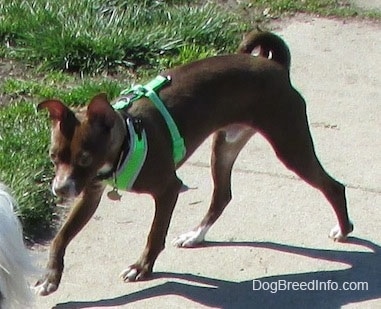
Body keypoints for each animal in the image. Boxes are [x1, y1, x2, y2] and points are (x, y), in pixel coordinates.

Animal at [34, 30, 352, 294]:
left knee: (333, 186)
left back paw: (344, 229)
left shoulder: (167, 190)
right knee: (222, 196)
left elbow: (154, 234)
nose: (59, 190)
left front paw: (142, 267)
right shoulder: (89, 194)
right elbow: (61, 237)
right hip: (224, 147)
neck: (127, 140)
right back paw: (196, 235)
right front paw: (51, 277)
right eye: (53, 157)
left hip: (290, 145)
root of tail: (277, 68)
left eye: (85, 158)